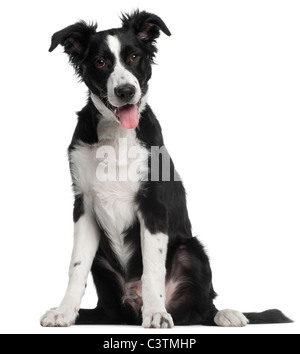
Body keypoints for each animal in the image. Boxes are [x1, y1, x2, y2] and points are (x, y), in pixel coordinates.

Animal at [39, 9, 290, 328]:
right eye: (100, 62)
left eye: (134, 56)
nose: (125, 91)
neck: (117, 134)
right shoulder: (83, 203)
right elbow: (76, 265)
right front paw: (64, 311)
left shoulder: (153, 205)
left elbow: (153, 268)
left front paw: (156, 312)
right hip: (106, 278)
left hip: (191, 249)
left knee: (202, 308)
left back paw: (225, 314)